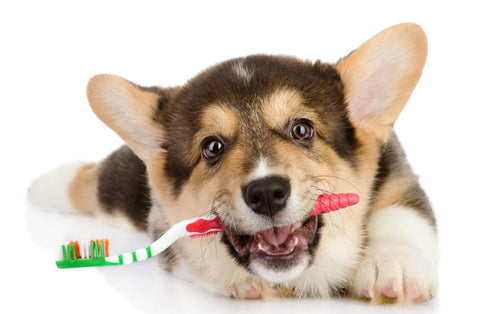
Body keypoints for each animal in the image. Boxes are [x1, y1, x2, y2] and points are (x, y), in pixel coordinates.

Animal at [28, 23, 436, 304]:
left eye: (302, 129)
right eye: (212, 147)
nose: (267, 193)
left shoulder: (398, 172)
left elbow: (402, 214)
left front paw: (392, 266)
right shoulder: (165, 226)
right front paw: (242, 280)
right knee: (93, 182)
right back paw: (43, 185)